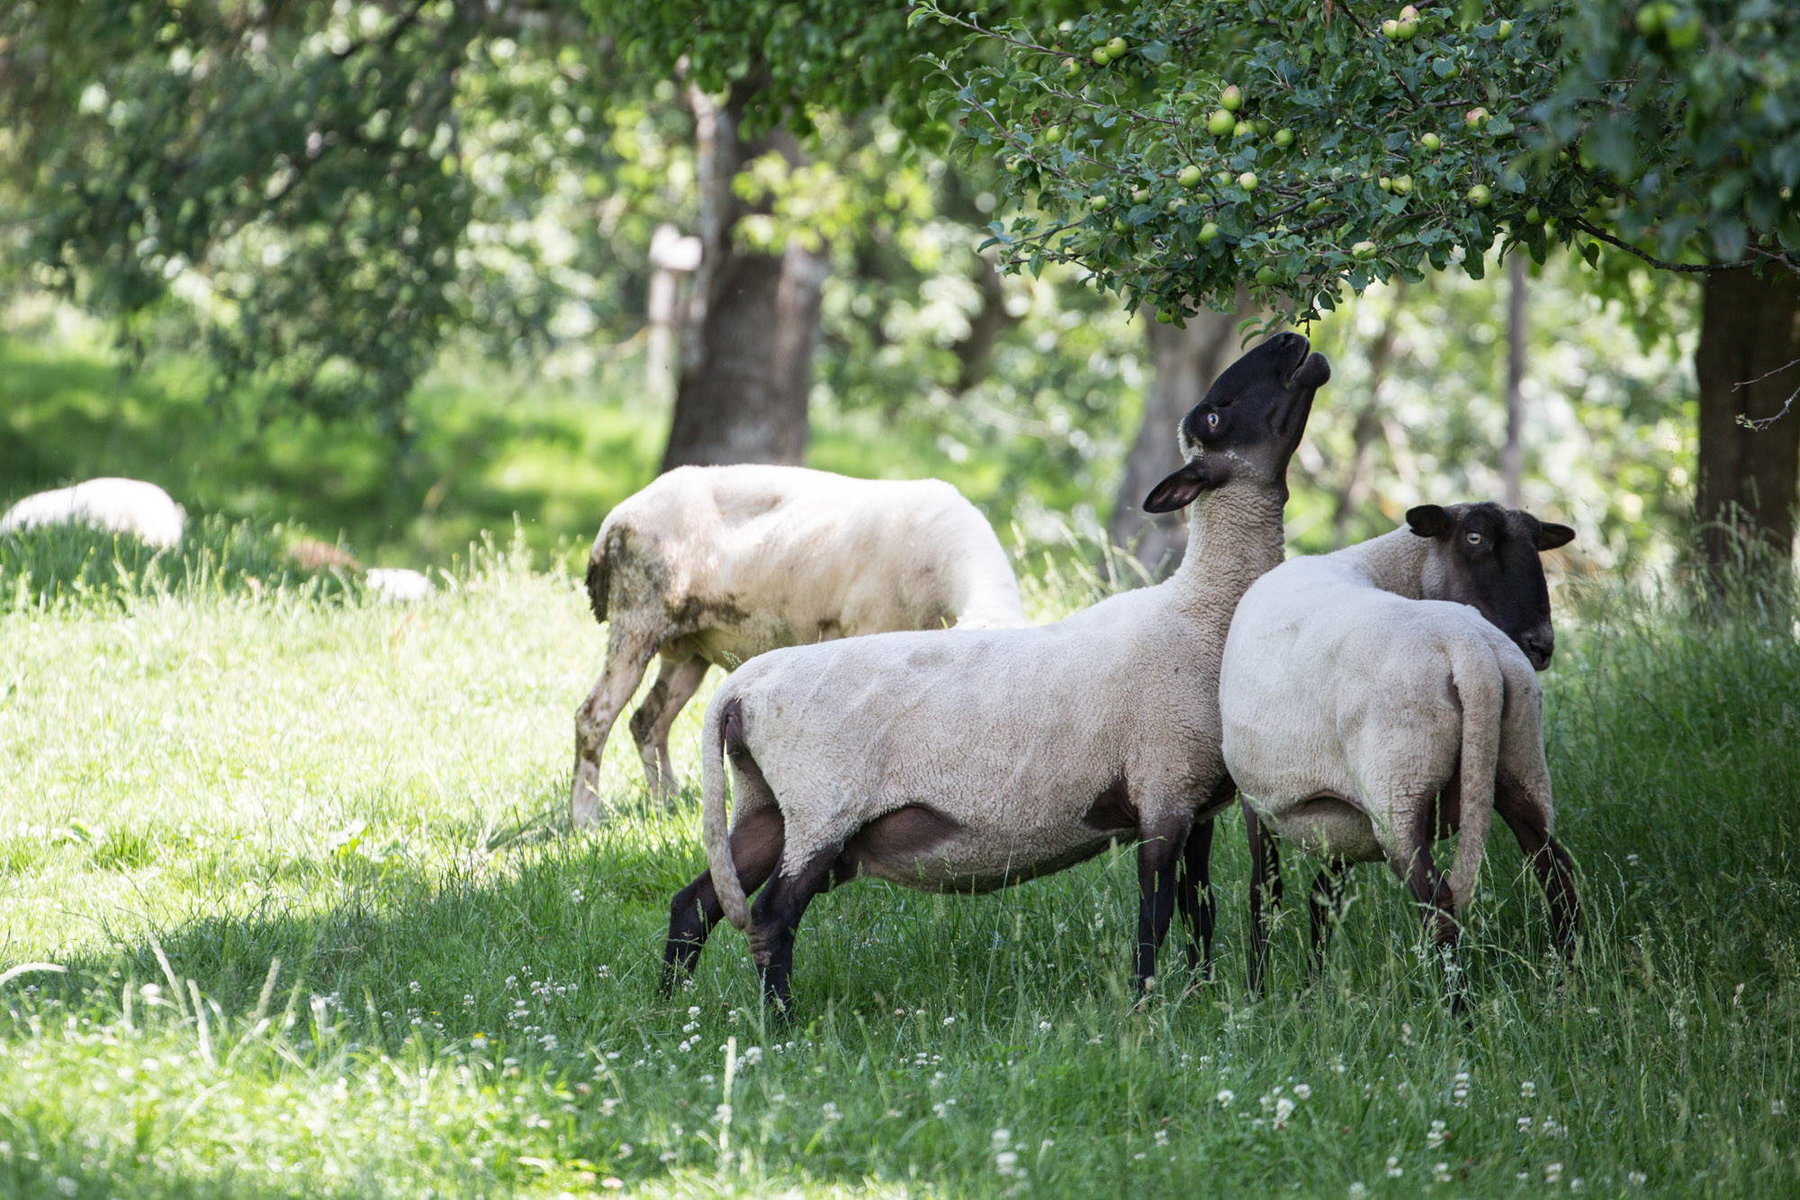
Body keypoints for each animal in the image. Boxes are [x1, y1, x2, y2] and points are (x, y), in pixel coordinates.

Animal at [576, 464, 1029, 827]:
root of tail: (616, 518)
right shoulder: (863, 634)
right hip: (637, 619)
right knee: (594, 716)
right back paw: (585, 818)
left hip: (689, 647)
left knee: (648, 721)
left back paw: (666, 803)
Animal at [662, 331, 1339, 1014]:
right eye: (1215, 417)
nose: (1292, 340)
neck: (1202, 610)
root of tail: (740, 689)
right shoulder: (1163, 789)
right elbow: (1156, 913)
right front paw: (1144, 1009)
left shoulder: (1198, 801)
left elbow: (1202, 908)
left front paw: (1198, 996)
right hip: (820, 806)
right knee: (772, 914)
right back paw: (780, 1022)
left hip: (766, 805)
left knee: (694, 904)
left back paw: (667, 1005)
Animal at [1216, 503, 1584, 1007]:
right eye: (1473, 538)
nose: (1542, 644)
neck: (1373, 567)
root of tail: (1471, 652)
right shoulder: (1346, 809)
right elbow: (1322, 896)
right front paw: (1310, 990)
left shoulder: (1259, 799)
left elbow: (1265, 893)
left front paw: (1258, 994)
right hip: (1520, 764)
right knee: (1558, 877)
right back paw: (1572, 988)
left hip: (1400, 788)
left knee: (1438, 902)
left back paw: (1460, 1015)